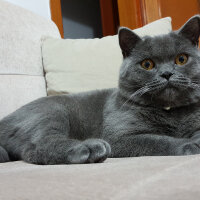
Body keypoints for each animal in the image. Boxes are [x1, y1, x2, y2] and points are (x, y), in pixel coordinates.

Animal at [0, 15, 200, 164]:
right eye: (147, 64)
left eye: (181, 59)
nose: (167, 74)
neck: (171, 113)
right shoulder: (119, 137)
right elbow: (156, 140)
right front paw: (190, 144)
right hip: (51, 112)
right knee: (37, 146)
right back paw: (88, 148)